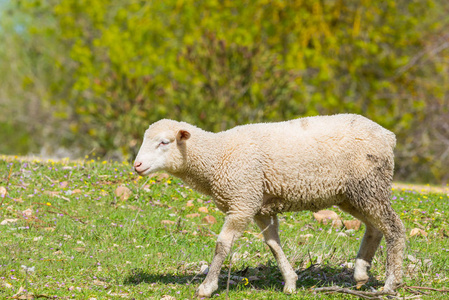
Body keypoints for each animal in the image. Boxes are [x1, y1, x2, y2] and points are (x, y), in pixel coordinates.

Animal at [133, 114, 406, 298]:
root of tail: (388, 135)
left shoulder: (242, 201)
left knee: (394, 228)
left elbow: (222, 245)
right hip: (352, 194)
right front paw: (291, 282)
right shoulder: (258, 206)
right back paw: (361, 272)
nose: (137, 165)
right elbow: (273, 245)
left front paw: (206, 287)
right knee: (375, 228)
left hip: (369, 184)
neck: (217, 156)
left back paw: (390, 283)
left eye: (164, 142)